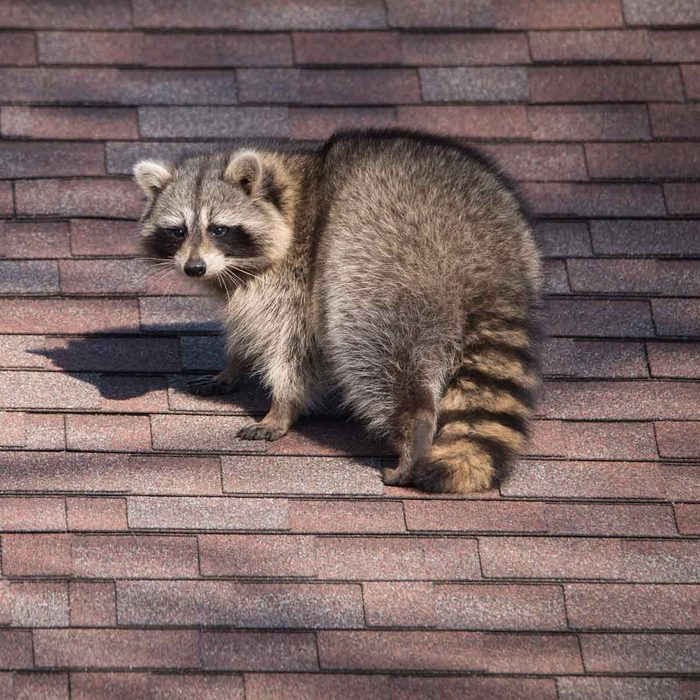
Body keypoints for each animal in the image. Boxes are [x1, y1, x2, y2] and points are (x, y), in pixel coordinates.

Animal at [135, 131, 540, 492]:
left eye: (218, 229)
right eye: (178, 230)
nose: (194, 268)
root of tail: (486, 254)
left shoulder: (297, 276)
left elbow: (293, 345)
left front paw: (282, 406)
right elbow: (247, 326)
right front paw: (235, 364)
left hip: (381, 262)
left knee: (372, 346)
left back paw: (415, 426)